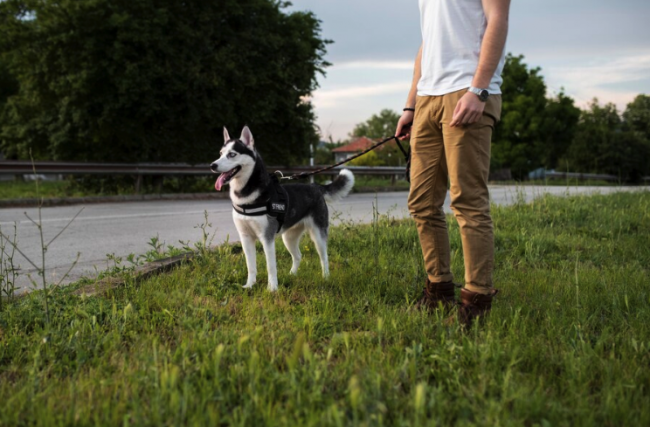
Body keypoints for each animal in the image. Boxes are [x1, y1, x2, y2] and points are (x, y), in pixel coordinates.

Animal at [211, 127, 354, 292]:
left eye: (232, 154)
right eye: (220, 153)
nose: (212, 165)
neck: (246, 195)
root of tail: (314, 186)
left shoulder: (267, 237)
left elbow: (271, 266)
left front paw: (272, 288)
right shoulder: (245, 237)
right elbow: (250, 266)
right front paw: (250, 285)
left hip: (318, 234)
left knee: (324, 257)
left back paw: (326, 277)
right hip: (289, 237)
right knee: (298, 256)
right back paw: (292, 275)